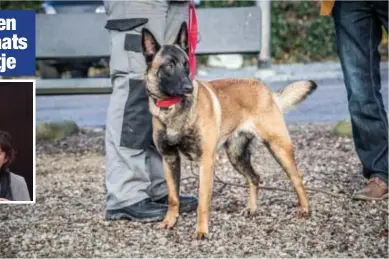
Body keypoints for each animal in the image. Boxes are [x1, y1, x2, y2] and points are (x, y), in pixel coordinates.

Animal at [141, 22, 316, 240]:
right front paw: (169, 221)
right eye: (169, 65)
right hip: (236, 155)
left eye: (185, 64)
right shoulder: (170, 158)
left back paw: (305, 209)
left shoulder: (206, 162)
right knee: (255, 178)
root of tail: (265, 90)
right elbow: (173, 197)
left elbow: (203, 201)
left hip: (278, 148)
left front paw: (201, 230)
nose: (189, 88)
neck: (172, 108)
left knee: (296, 177)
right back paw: (252, 209)